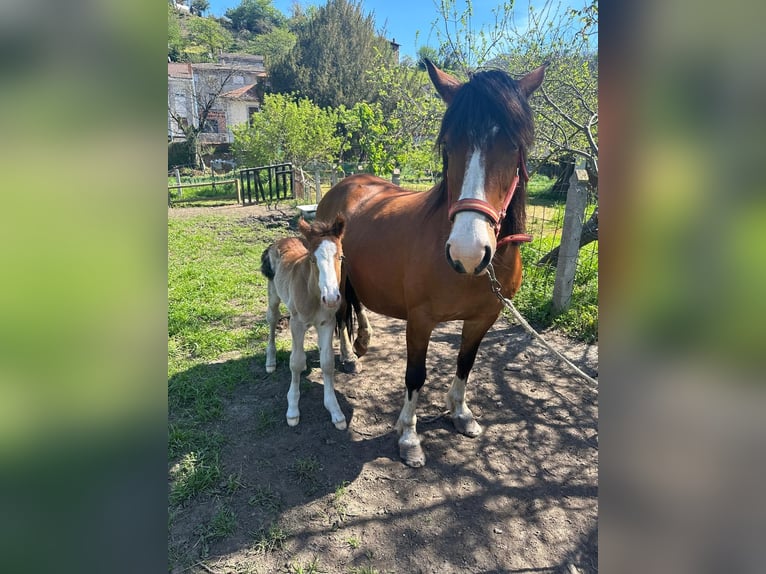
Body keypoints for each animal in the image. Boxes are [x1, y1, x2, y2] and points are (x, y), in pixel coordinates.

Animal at [262, 216, 350, 432]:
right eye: (312, 259)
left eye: (341, 257)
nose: (332, 298)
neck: (315, 295)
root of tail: (279, 241)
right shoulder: (297, 323)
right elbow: (295, 362)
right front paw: (293, 409)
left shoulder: (327, 323)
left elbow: (327, 363)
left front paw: (335, 411)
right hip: (273, 296)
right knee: (272, 320)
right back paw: (270, 361)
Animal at [316, 59, 544, 468]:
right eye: (449, 146)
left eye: (514, 146)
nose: (468, 252)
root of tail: (343, 185)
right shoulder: (420, 320)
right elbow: (415, 375)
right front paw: (408, 436)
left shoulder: (483, 318)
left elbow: (465, 364)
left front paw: (461, 413)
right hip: (337, 279)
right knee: (340, 314)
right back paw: (348, 356)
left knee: (355, 307)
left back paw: (361, 342)